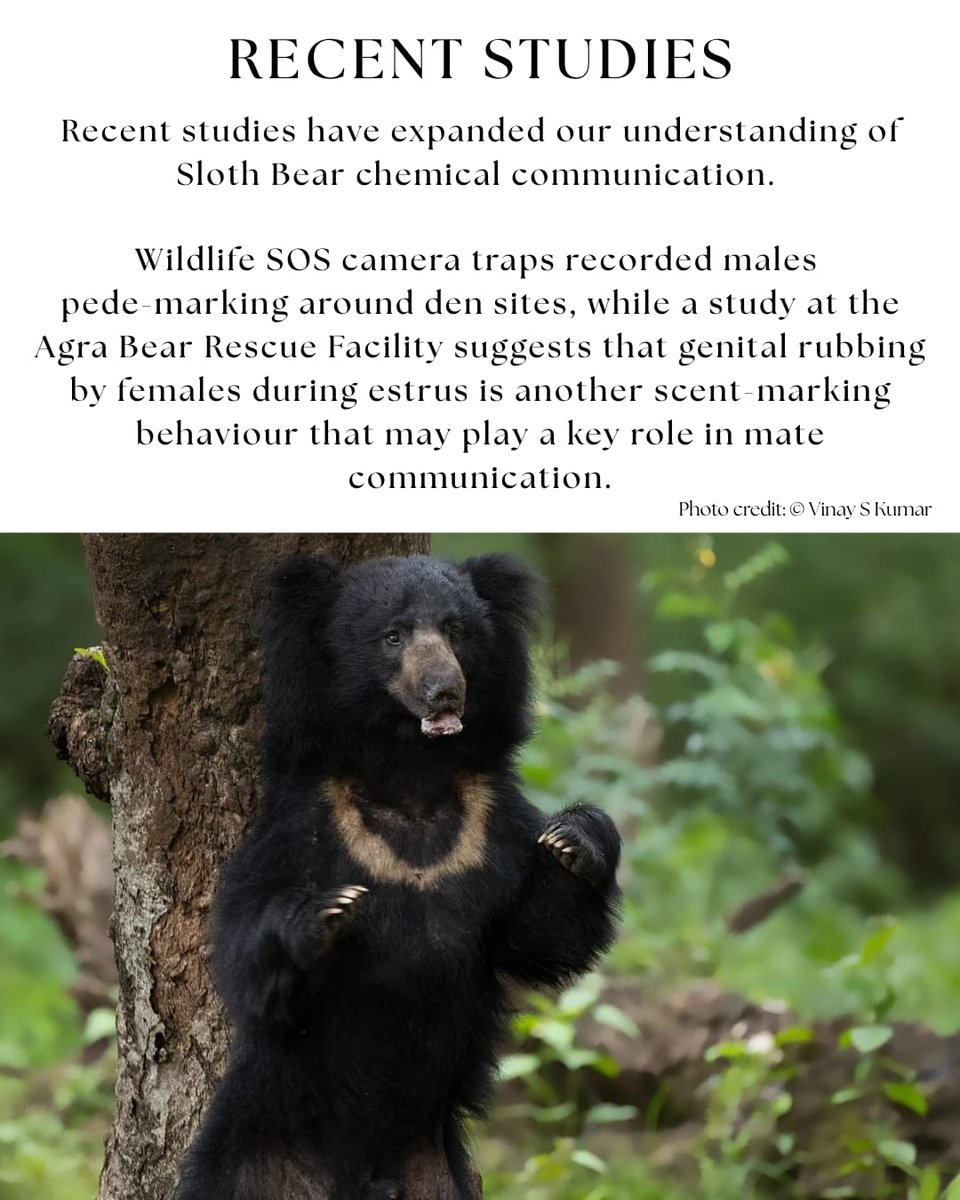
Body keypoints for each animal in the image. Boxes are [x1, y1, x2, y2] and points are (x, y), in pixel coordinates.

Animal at [175, 552, 621, 1200]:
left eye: (456, 630)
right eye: (393, 637)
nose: (444, 690)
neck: (409, 771)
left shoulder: (493, 822)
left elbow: (541, 936)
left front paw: (574, 838)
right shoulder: (298, 821)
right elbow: (243, 952)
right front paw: (328, 912)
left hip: (434, 1171)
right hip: (260, 1149)